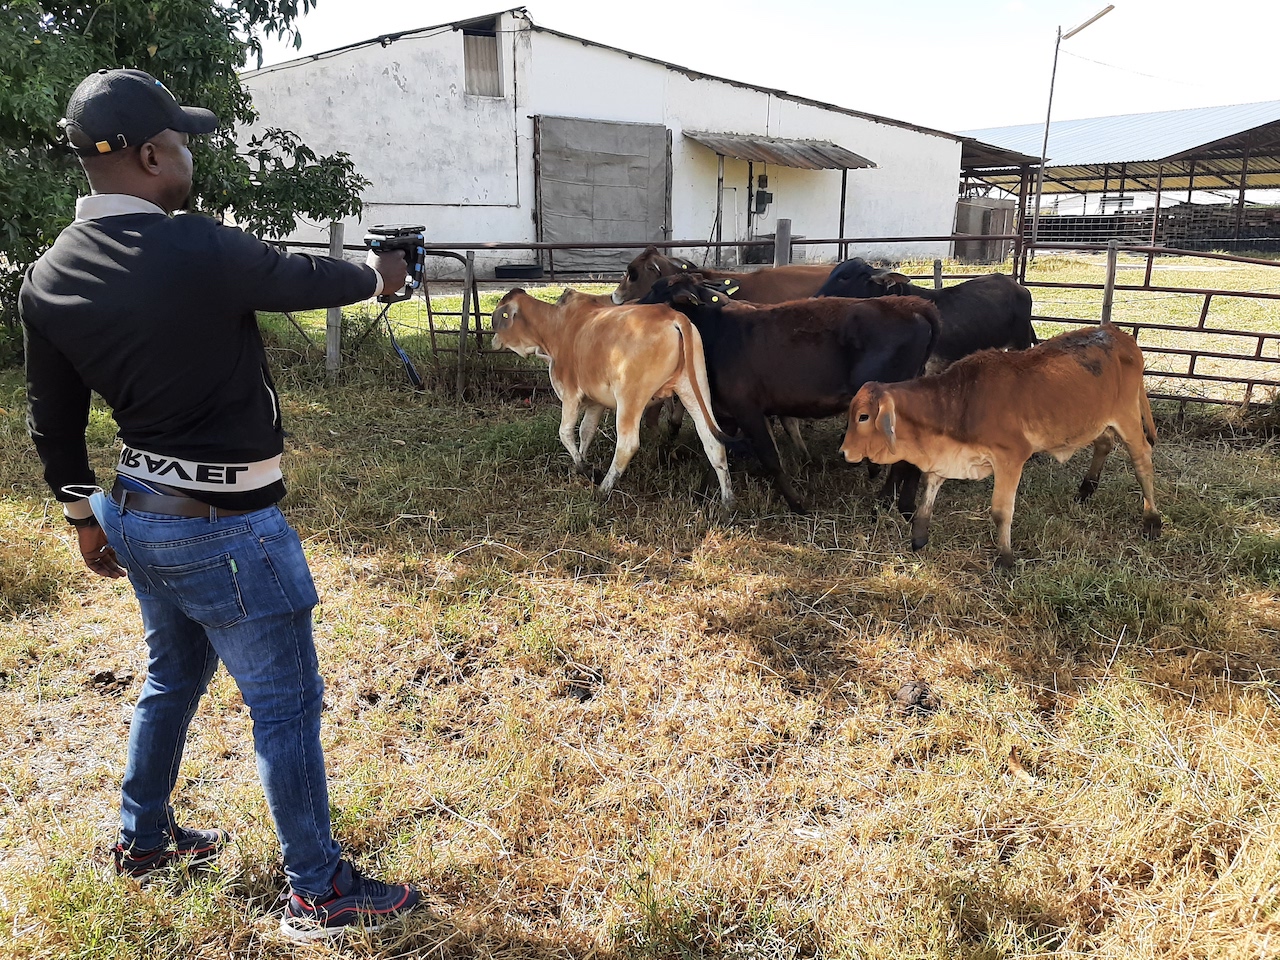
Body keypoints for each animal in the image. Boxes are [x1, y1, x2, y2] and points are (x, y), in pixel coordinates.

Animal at [486, 288, 732, 506]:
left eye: (501, 313)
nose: (493, 340)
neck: (557, 327)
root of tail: (673, 316)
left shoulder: (570, 395)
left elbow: (566, 433)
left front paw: (587, 469)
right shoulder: (596, 403)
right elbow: (586, 432)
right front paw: (579, 465)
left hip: (630, 398)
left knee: (627, 445)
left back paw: (604, 488)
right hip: (694, 388)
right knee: (713, 442)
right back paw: (727, 502)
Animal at [839, 323, 1162, 568]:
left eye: (863, 416)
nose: (844, 452)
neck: (960, 401)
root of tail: (1119, 334)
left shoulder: (1011, 457)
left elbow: (1000, 511)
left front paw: (1005, 558)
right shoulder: (945, 459)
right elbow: (926, 497)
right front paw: (918, 538)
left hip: (1127, 416)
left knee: (1142, 461)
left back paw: (1152, 520)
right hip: (1100, 421)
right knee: (1104, 444)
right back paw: (1086, 488)